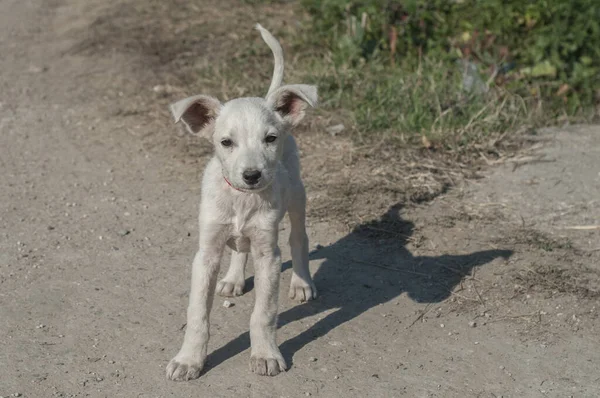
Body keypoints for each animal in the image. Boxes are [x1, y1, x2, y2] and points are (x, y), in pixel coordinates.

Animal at [166, 24, 316, 380]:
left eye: (270, 139)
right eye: (226, 142)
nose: (252, 176)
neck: (242, 200)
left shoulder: (268, 255)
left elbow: (263, 313)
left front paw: (265, 354)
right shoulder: (206, 253)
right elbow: (197, 314)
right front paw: (189, 359)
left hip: (297, 196)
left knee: (299, 237)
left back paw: (302, 282)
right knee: (238, 246)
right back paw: (234, 278)